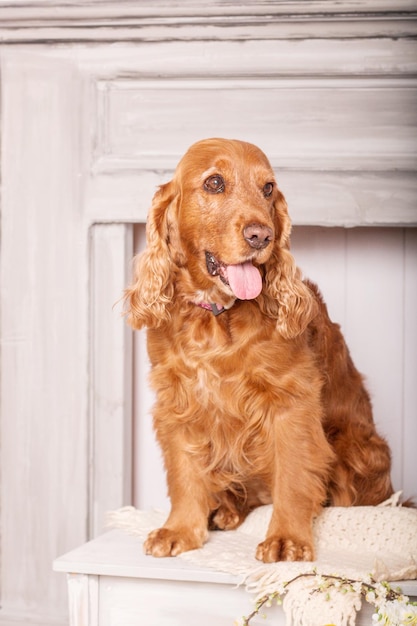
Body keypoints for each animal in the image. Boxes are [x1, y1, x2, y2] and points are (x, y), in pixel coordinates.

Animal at [124, 136, 394, 560]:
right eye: (214, 183)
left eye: (267, 188)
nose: (261, 236)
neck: (217, 316)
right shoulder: (178, 401)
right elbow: (184, 472)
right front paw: (180, 529)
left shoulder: (290, 402)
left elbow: (294, 476)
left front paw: (287, 539)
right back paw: (224, 509)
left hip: (355, 446)